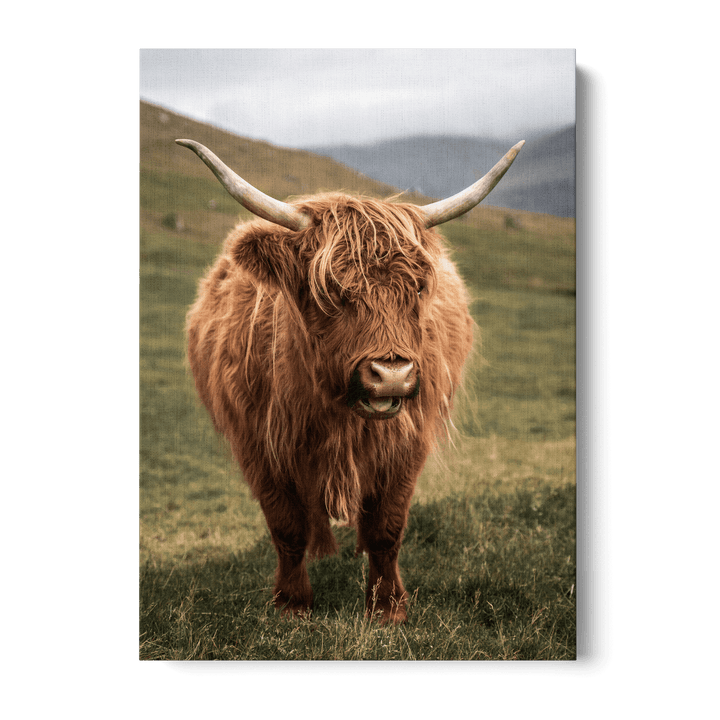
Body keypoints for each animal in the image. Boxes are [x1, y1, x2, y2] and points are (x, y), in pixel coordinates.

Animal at [178, 137, 524, 623]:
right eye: (332, 291)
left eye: (418, 288)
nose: (392, 375)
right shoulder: (258, 445)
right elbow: (287, 527)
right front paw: (292, 603)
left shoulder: (406, 442)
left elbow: (386, 528)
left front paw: (388, 607)